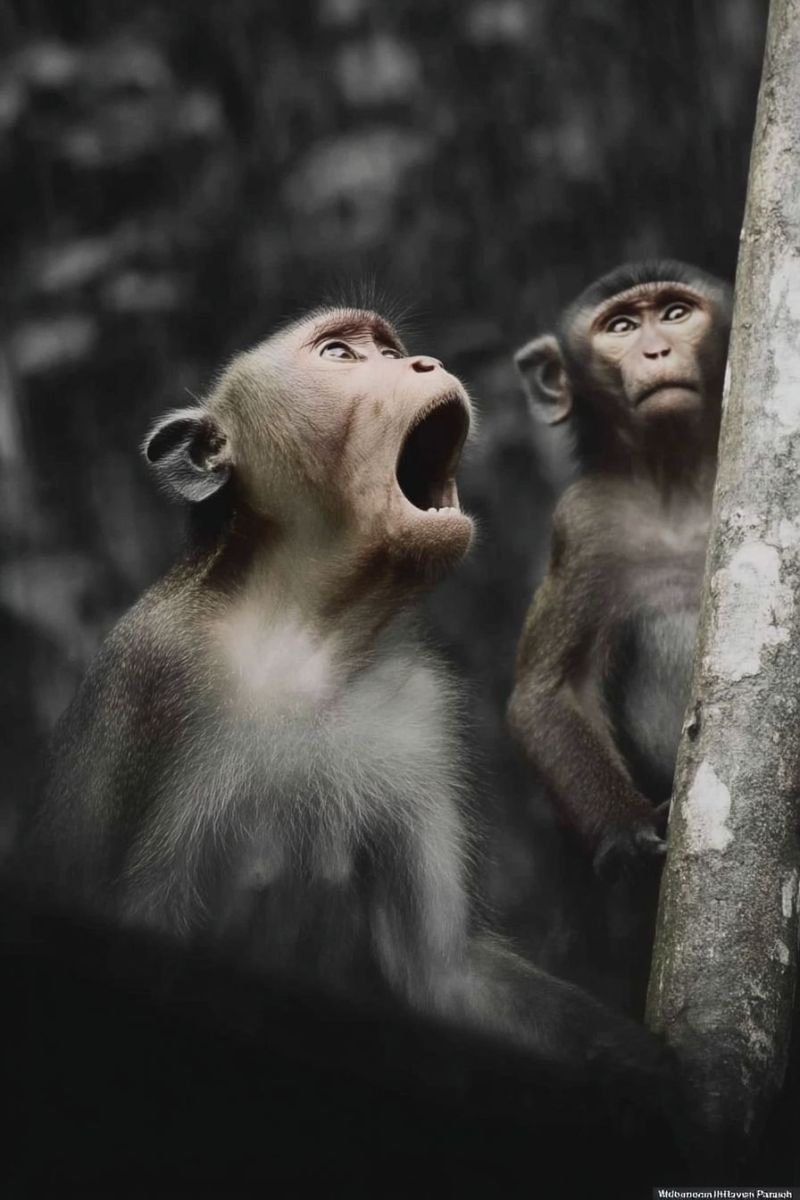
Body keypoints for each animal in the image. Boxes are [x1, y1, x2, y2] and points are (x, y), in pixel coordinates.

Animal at [18, 305, 672, 1082]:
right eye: (339, 354)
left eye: (388, 351)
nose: (423, 363)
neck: (312, 633)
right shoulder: (154, 673)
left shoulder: (423, 705)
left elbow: (445, 974)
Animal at [508, 261, 732, 881]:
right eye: (622, 326)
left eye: (676, 314)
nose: (656, 350)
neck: (677, 477)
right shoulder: (585, 524)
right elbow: (549, 692)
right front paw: (625, 831)